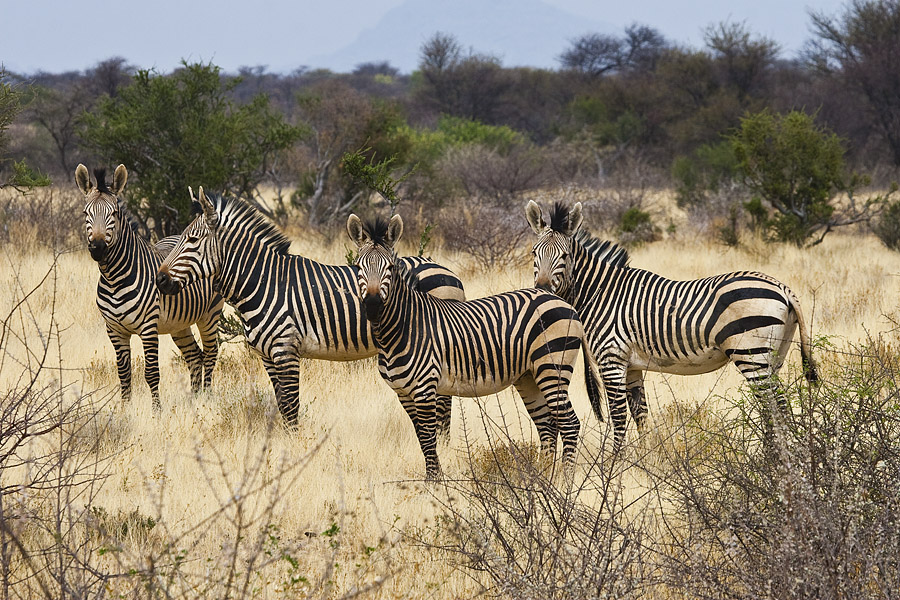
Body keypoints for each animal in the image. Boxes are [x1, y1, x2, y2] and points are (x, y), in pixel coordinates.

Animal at [77, 164, 225, 408]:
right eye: (85, 213)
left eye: (114, 214)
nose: (97, 248)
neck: (114, 278)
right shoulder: (114, 330)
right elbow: (124, 373)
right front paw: (125, 410)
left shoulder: (148, 327)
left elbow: (151, 373)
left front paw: (157, 411)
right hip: (179, 323)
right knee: (195, 356)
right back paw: (194, 400)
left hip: (209, 315)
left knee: (211, 353)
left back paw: (206, 399)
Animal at [152, 188, 468, 432]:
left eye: (192, 241)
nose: (159, 280)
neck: (264, 283)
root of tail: (447, 270)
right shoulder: (268, 356)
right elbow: (281, 405)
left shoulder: (286, 351)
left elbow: (292, 407)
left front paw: (292, 448)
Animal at [346, 213, 604, 480]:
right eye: (358, 267)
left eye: (390, 268)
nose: (373, 306)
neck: (402, 327)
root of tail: (564, 303)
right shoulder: (403, 393)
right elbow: (421, 437)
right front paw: (435, 479)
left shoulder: (425, 388)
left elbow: (428, 438)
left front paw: (434, 483)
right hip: (529, 376)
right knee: (547, 425)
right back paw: (541, 477)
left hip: (553, 367)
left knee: (570, 424)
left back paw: (565, 480)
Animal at [524, 200, 820, 450]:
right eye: (534, 253)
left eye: (564, 256)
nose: (542, 289)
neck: (601, 292)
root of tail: (782, 287)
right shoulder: (632, 366)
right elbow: (640, 413)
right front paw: (643, 460)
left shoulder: (611, 360)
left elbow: (619, 417)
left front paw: (614, 464)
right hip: (773, 355)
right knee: (774, 404)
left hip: (751, 354)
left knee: (776, 404)